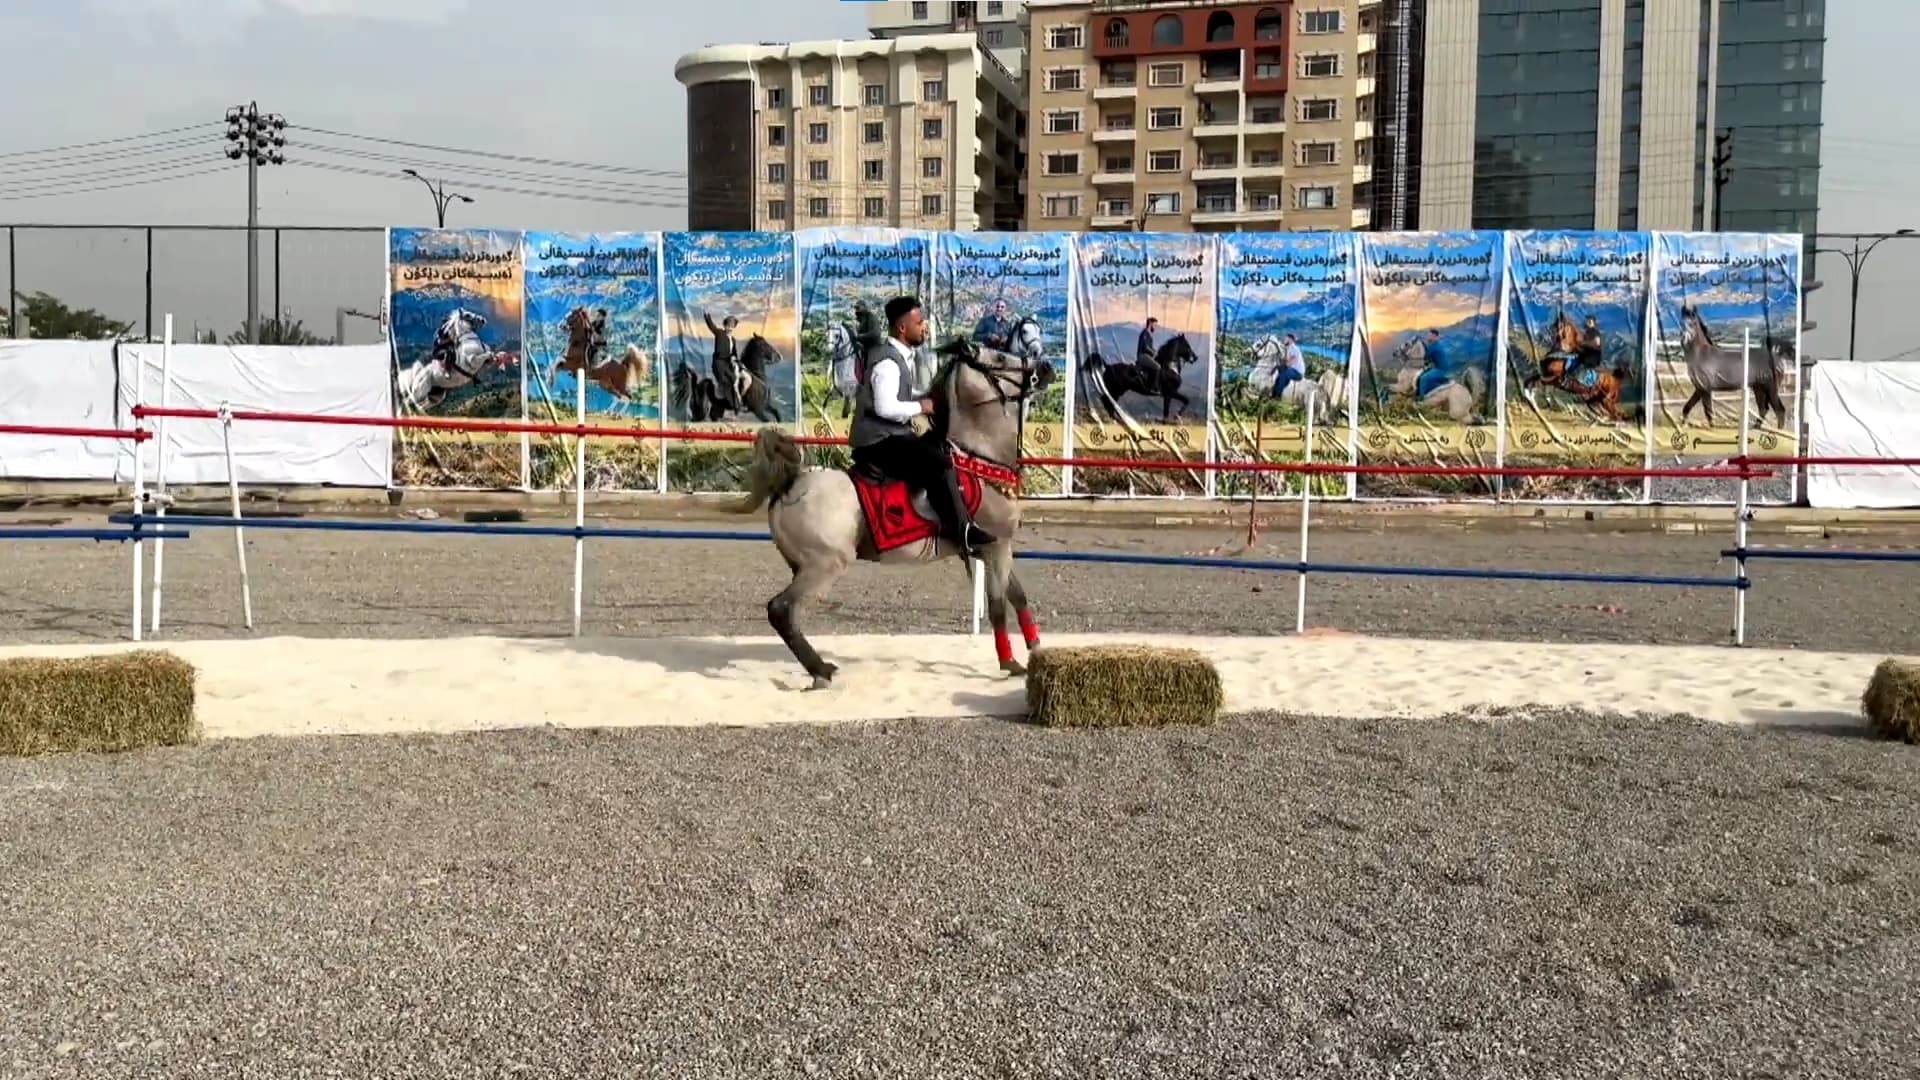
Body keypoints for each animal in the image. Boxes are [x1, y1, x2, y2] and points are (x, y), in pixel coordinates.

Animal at [729, 336, 1053, 690]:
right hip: (825, 564)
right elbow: (998, 607)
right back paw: (821, 671)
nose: (1046, 368)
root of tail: (791, 484)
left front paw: (1036, 649)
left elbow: (1018, 597)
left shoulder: (985, 552)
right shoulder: (996, 548)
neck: (976, 459)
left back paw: (820, 667)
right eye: (999, 358)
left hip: (802, 566)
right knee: (781, 609)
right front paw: (1010, 663)